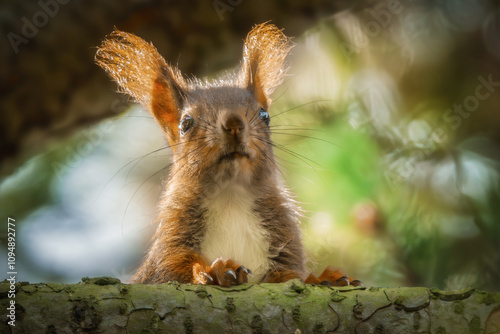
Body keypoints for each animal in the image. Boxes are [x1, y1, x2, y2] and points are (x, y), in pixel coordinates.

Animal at [94, 22, 360, 288]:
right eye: (186, 123)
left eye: (264, 115)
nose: (233, 123)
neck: (230, 196)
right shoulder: (168, 247)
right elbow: (171, 270)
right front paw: (214, 270)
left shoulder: (285, 240)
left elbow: (288, 276)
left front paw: (320, 279)